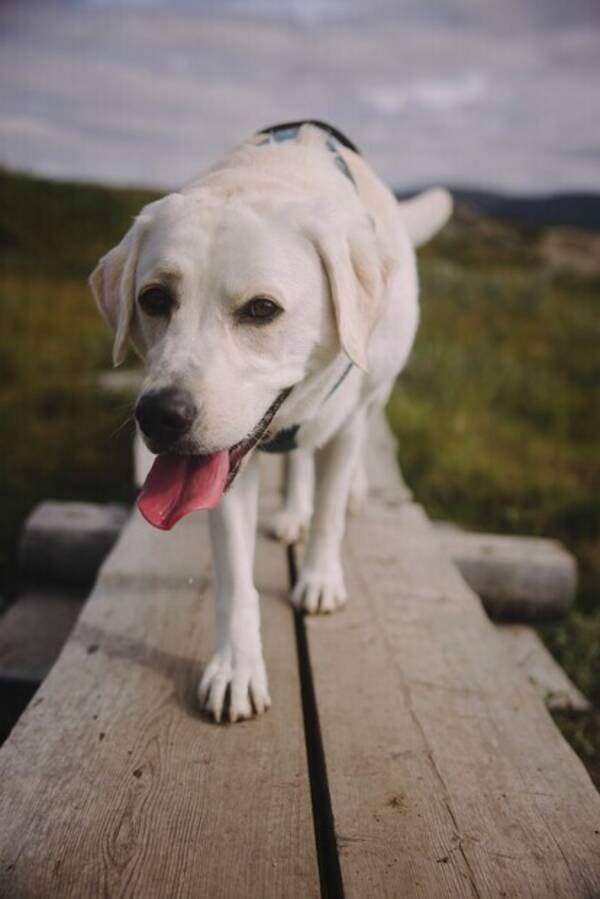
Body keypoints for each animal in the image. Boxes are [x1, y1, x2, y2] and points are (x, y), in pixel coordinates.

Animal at [90, 119, 450, 724]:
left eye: (261, 310)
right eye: (154, 298)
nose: (160, 415)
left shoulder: (346, 425)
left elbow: (330, 515)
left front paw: (320, 577)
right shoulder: (229, 471)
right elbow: (236, 579)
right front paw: (236, 669)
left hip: (374, 388)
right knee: (298, 460)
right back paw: (290, 513)